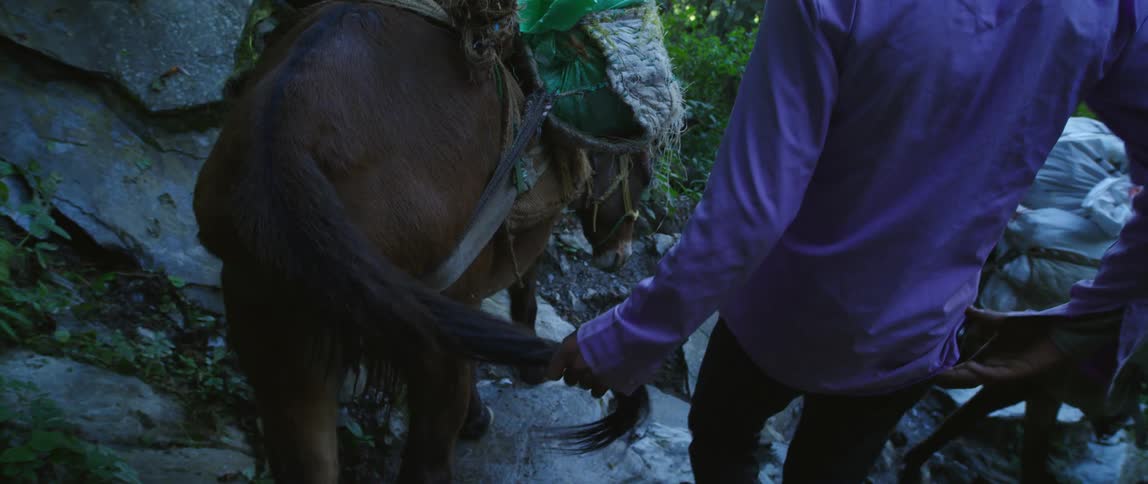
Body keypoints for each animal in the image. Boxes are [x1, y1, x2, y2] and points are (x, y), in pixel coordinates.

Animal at [193, 0, 655, 482]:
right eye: (645, 174)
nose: (620, 255)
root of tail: (282, 138)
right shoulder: (495, 267)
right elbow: (525, 294)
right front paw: (512, 384)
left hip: (278, 329)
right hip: (425, 335)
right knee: (428, 461)